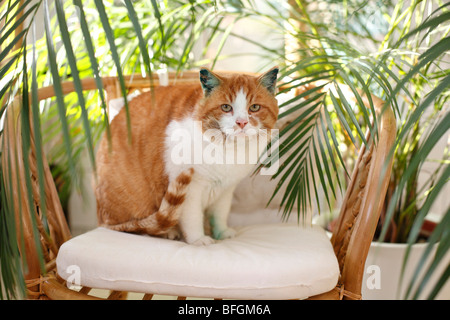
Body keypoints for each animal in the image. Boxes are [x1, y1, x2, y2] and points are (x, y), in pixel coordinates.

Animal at [95, 68, 278, 245]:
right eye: (226, 107)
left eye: (254, 107)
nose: (241, 122)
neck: (229, 151)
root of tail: (101, 220)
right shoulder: (190, 189)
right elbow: (192, 218)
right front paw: (198, 239)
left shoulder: (226, 190)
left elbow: (220, 214)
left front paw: (221, 233)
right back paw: (168, 232)